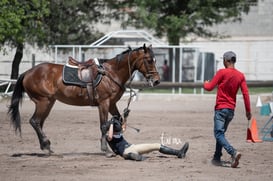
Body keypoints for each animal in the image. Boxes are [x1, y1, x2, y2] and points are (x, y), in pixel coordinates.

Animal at [8, 44, 159, 156]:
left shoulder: (112, 104)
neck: (111, 73)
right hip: (43, 102)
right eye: (149, 60)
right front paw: (106, 150)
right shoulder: (104, 103)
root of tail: (27, 72)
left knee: (39, 122)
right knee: (34, 121)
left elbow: (118, 120)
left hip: (49, 103)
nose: (157, 81)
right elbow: (104, 125)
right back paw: (46, 145)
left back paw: (47, 147)